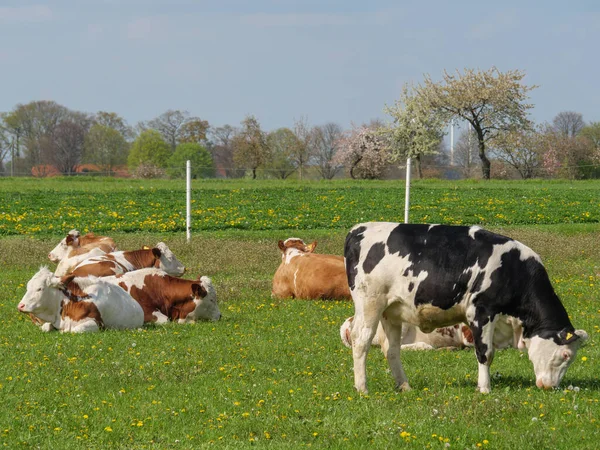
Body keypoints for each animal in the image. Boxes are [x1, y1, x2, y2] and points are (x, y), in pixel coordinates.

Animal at [344, 223, 588, 392]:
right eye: (566, 355)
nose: (551, 387)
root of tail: (360, 228)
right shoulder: (481, 311)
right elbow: (485, 353)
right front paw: (485, 388)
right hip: (370, 304)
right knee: (361, 340)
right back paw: (362, 388)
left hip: (391, 312)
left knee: (391, 349)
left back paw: (405, 386)